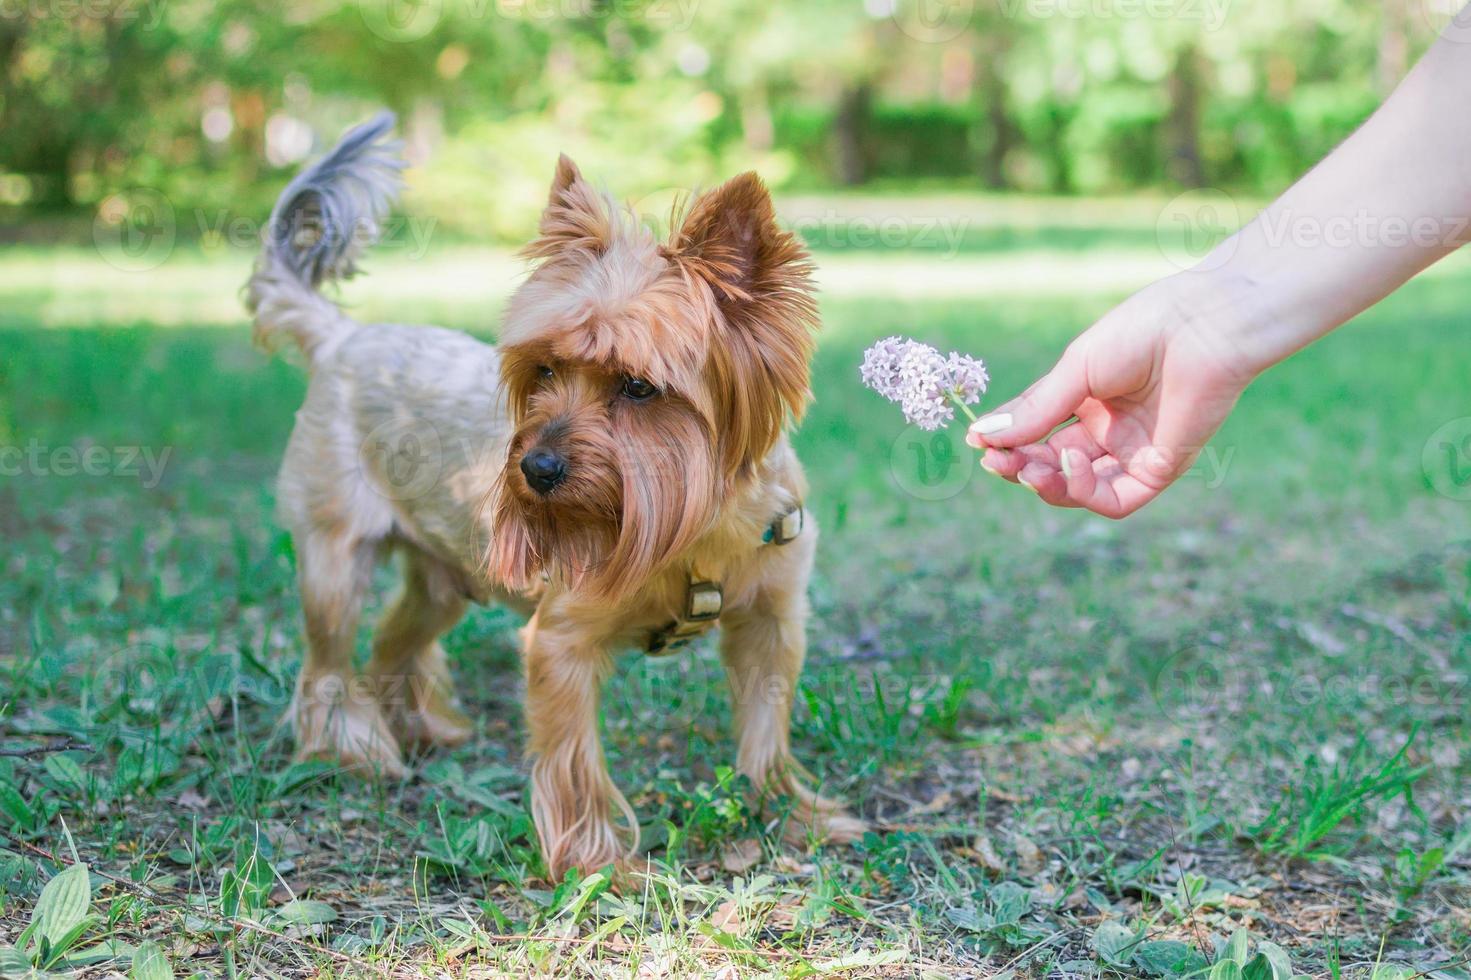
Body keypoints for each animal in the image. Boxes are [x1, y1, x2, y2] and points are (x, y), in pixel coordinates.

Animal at [241, 114, 859, 876]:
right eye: (544, 369)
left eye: (638, 387)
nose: (536, 467)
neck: (700, 523)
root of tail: (343, 337)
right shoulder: (562, 642)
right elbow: (572, 761)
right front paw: (597, 864)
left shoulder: (772, 622)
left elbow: (766, 722)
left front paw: (788, 813)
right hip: (334, 553)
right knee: (329, 655)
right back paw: (347, 749)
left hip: (445, 570)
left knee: (396, 633)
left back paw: (420, 726)